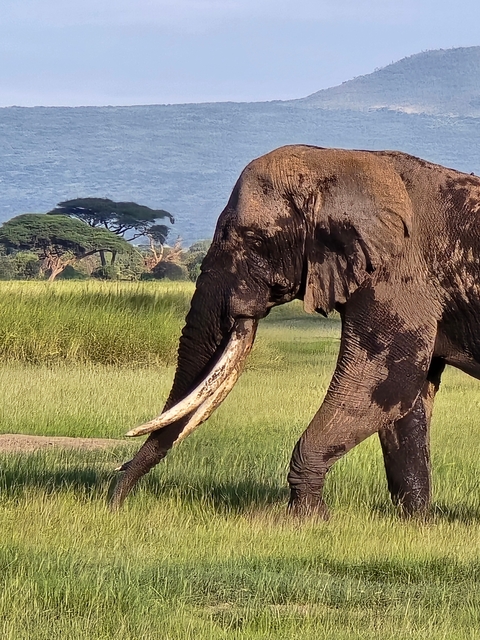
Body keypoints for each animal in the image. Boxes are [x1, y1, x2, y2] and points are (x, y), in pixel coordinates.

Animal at [110, 143, 480, 518]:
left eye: (255, 239)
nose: (115, 498)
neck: (340, 160)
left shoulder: (400, 279)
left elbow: (378, 384)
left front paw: (306, 519)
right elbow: (407, 400)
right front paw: (415, 520)